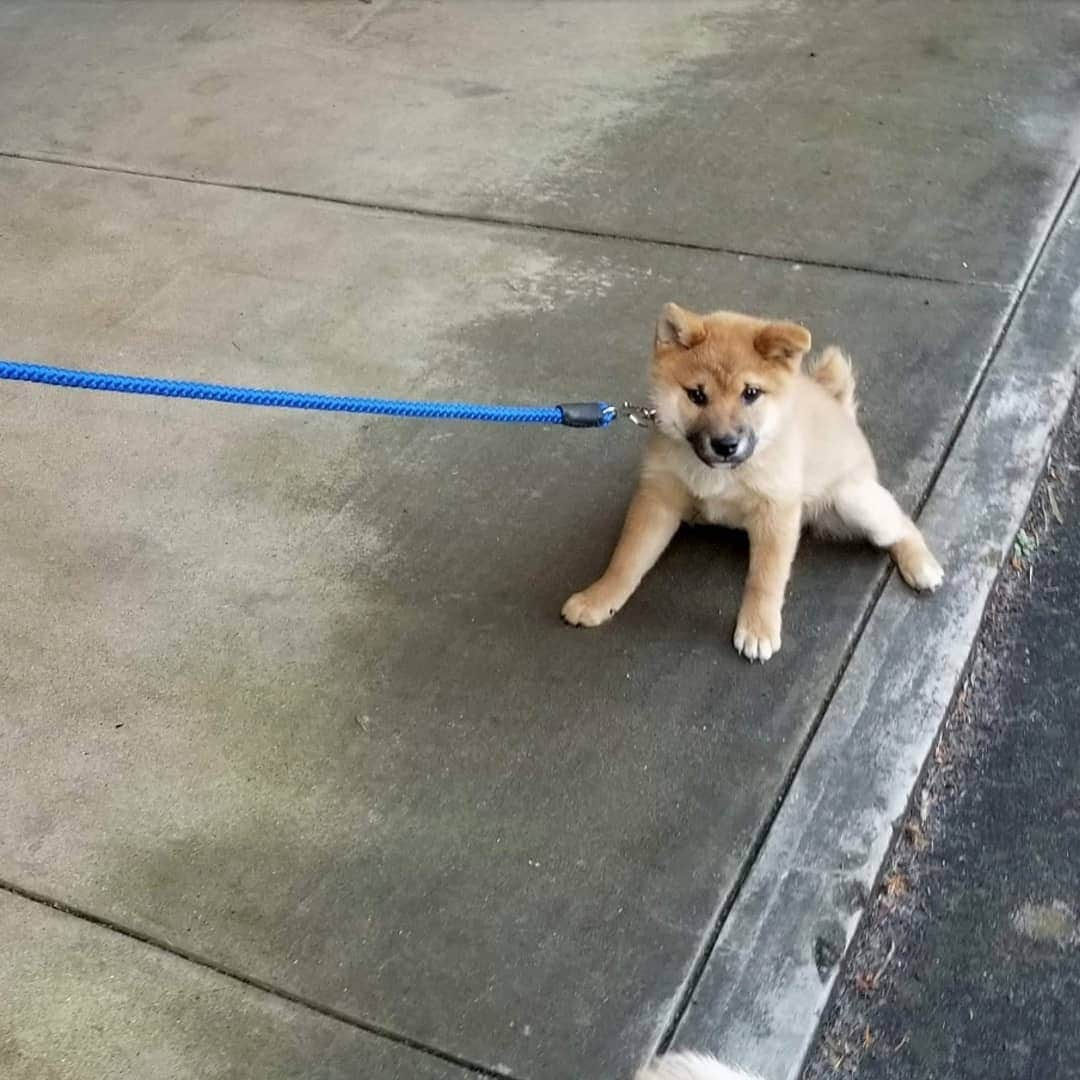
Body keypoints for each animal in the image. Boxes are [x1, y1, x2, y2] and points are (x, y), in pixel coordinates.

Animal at [561, 304, 941, 656]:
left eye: (751, 393)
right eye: (697, 395)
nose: (725, 444)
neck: (723, 474)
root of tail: (843, 414)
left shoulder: (776, 511)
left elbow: (765, 579)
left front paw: (758, 628)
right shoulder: (657, 498)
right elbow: (627, 559)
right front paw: (599, 598)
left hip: (852, 500)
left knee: (902, 523)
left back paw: (921, 564)